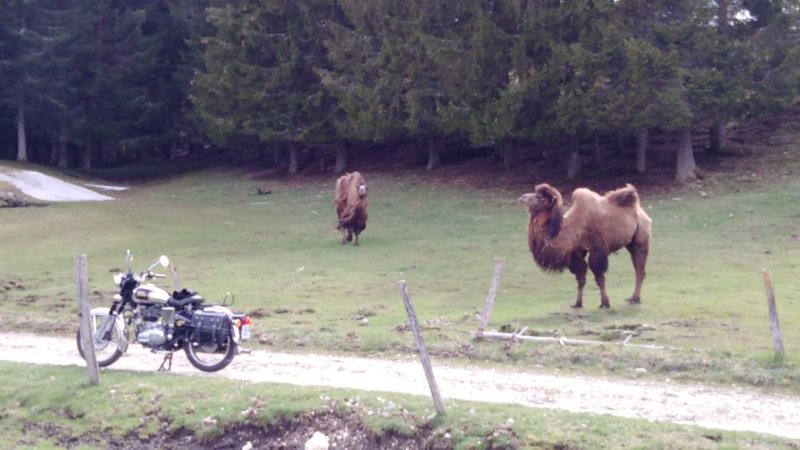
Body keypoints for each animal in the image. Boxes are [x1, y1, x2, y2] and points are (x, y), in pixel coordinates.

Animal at [518, 183, 651, 308]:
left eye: (540, 197)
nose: (522, 197)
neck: (570, 230)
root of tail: (639, 209)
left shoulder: (597, 250)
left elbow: (599, 278)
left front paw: (605, 303)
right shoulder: (575, 253)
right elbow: (580, 278)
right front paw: (577, 303)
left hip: (641, 238)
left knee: (640, 269)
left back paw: (635, 299)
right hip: (630, 244)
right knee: (637, 267)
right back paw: (633, 297)